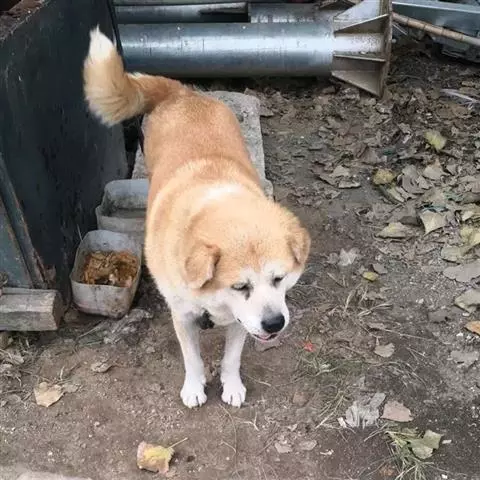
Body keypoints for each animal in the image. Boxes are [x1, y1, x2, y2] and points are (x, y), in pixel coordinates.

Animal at [83, 27, 311, 408]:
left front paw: (232, 386)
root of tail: (184, 93)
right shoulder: (183, 316)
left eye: (279, 279)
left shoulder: (239, 321)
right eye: (240, 286)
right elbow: (192, 358)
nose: (274, 324)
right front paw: (194, 387)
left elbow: (231, 357)